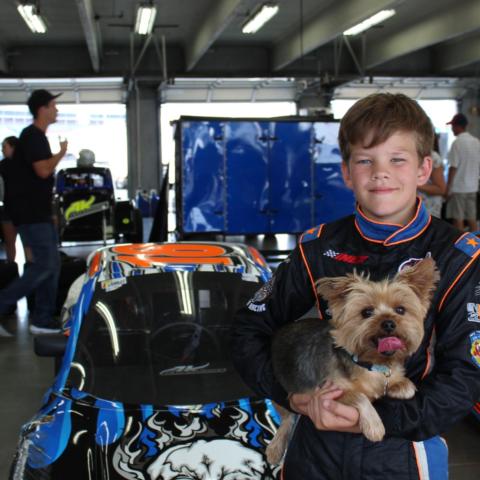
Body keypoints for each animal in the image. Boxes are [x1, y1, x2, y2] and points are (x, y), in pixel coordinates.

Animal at [266, 258, 438, 464]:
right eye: (366, 312)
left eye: (400, 310)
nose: (389, 323)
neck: (370, 364)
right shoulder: (328, 392)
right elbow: (359, 396)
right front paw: (374, 425)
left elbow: (404, 386)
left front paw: (400, 385)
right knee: (287, 418)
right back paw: (275, 447)